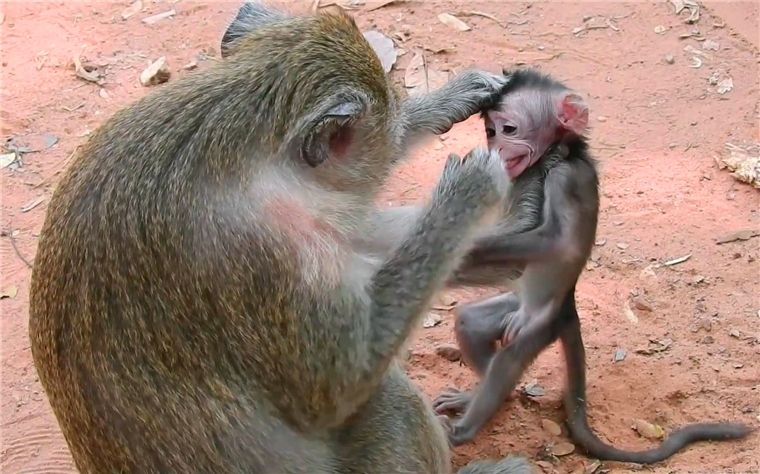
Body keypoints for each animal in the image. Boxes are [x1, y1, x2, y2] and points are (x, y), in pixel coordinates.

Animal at [29, 3, 536, 474]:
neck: (240, 142)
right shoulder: (266, 253)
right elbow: (336, 388)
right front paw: (468, 192)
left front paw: (450, 100)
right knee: (385, 393)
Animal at [434, 70, 756, 462]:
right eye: (490, 131)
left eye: (508, 129)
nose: (495, 149)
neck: (562, 156)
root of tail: (567, 308)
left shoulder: (567, 179)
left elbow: (558, 242)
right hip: (514, 307)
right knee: (471, 322)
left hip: (540, 325)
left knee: (509, 359)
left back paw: (463, 429)